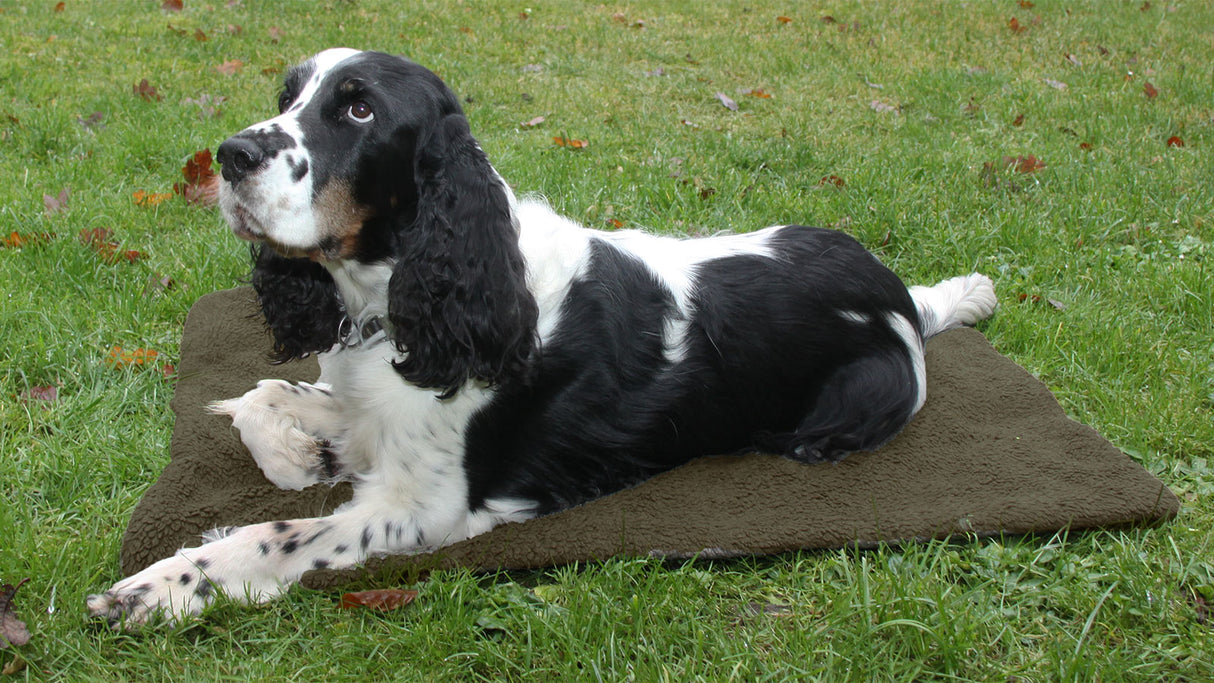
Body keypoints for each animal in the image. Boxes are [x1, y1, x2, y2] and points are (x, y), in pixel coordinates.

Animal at [85, 48, 995, 625]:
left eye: (358, 107)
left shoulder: (424, 508)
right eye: (287, 97)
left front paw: (154, 588)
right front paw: (301, 455)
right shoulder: (366, 404)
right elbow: (261, 395)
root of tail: (893, 298)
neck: (407, 291)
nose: (230, 155)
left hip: (845, 409)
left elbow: (272, 536)